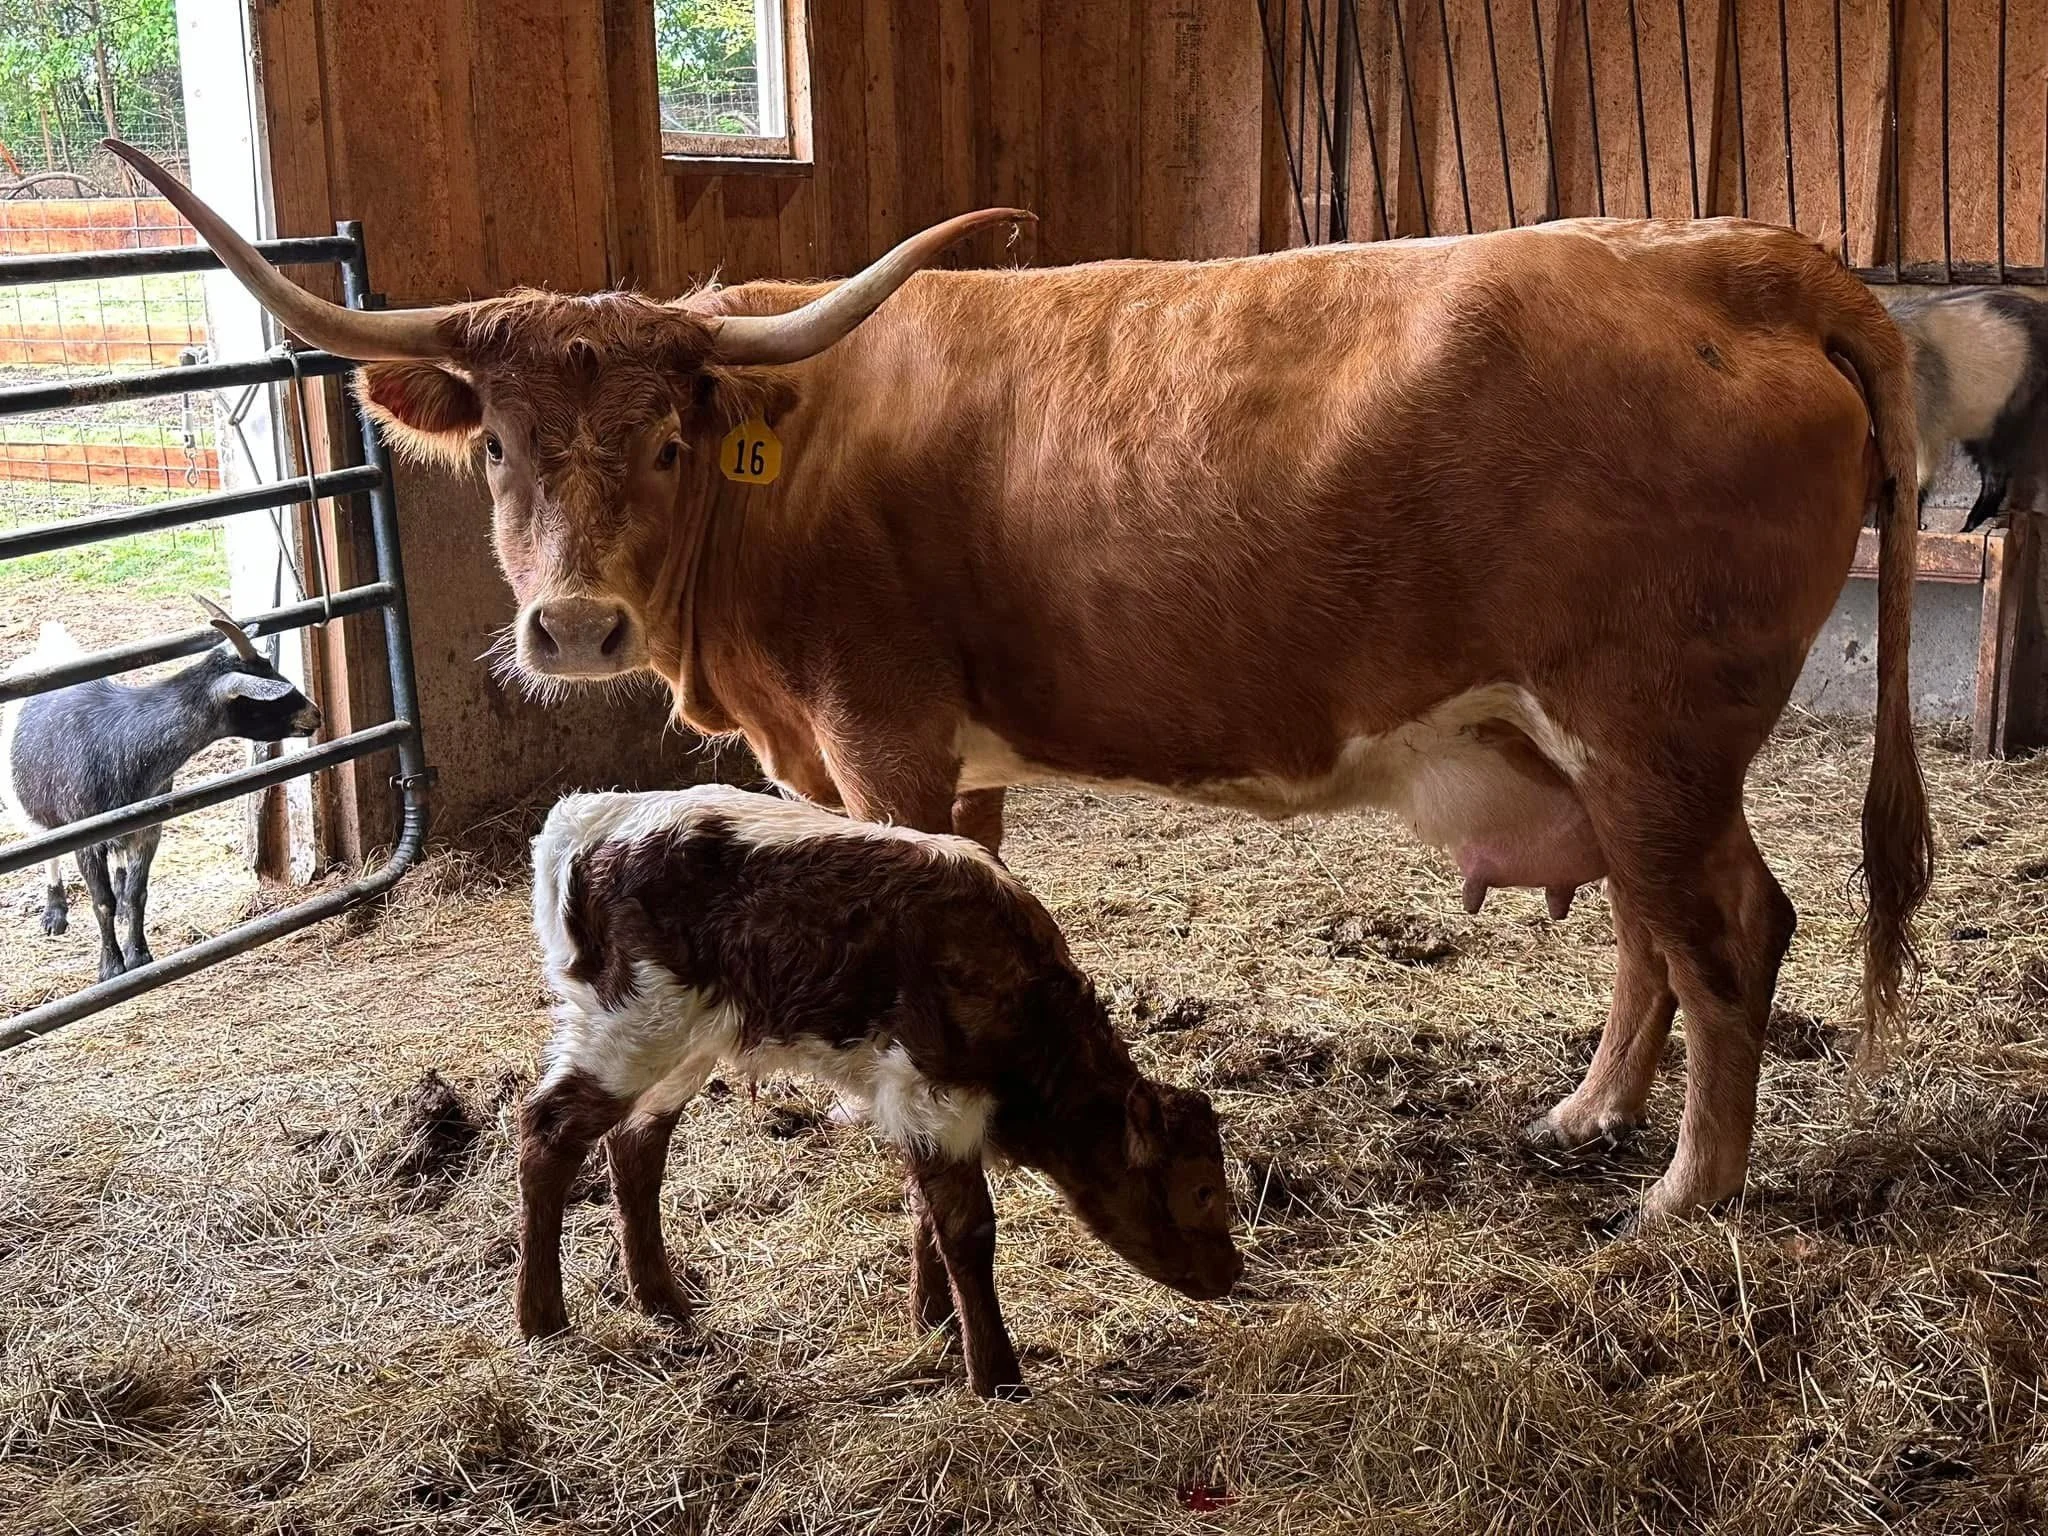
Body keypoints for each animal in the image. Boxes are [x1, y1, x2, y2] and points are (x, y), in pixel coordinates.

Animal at [2, 598, 320, 981]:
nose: (315, 714)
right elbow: (101, 901)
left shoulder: (149, 827)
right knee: (45, 846)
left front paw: (138, 955)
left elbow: (137, 893)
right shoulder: (86, 838)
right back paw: (55, 913)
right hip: (25, 805)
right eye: (264, 696)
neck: (119, 742)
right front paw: (111, 967)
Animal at [109, 139, 1932, 1225]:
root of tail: (1735, 256)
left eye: (666, 436)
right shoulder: (920, 755)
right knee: (1648, 928)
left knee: (1726, 930)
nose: (575, 631)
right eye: (495, 441)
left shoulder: (881, 736)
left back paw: (1684, 1194)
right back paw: (1585, 1115)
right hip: (1597, 741)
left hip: (1650, 726)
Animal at [521, 785, 1243, 1397]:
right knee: (549, 1131)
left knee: (635, 1147)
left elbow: (927, 1209)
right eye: (1202, 1191)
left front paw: (936, 1320)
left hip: (683, 1042)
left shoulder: (920, 1106)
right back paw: (542, 1319)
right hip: (632, 1022)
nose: (1231, 1274)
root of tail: (585, 819)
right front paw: (996, 1376)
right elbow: (968, 1227)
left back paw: (664, 1302)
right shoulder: (935, 1092)